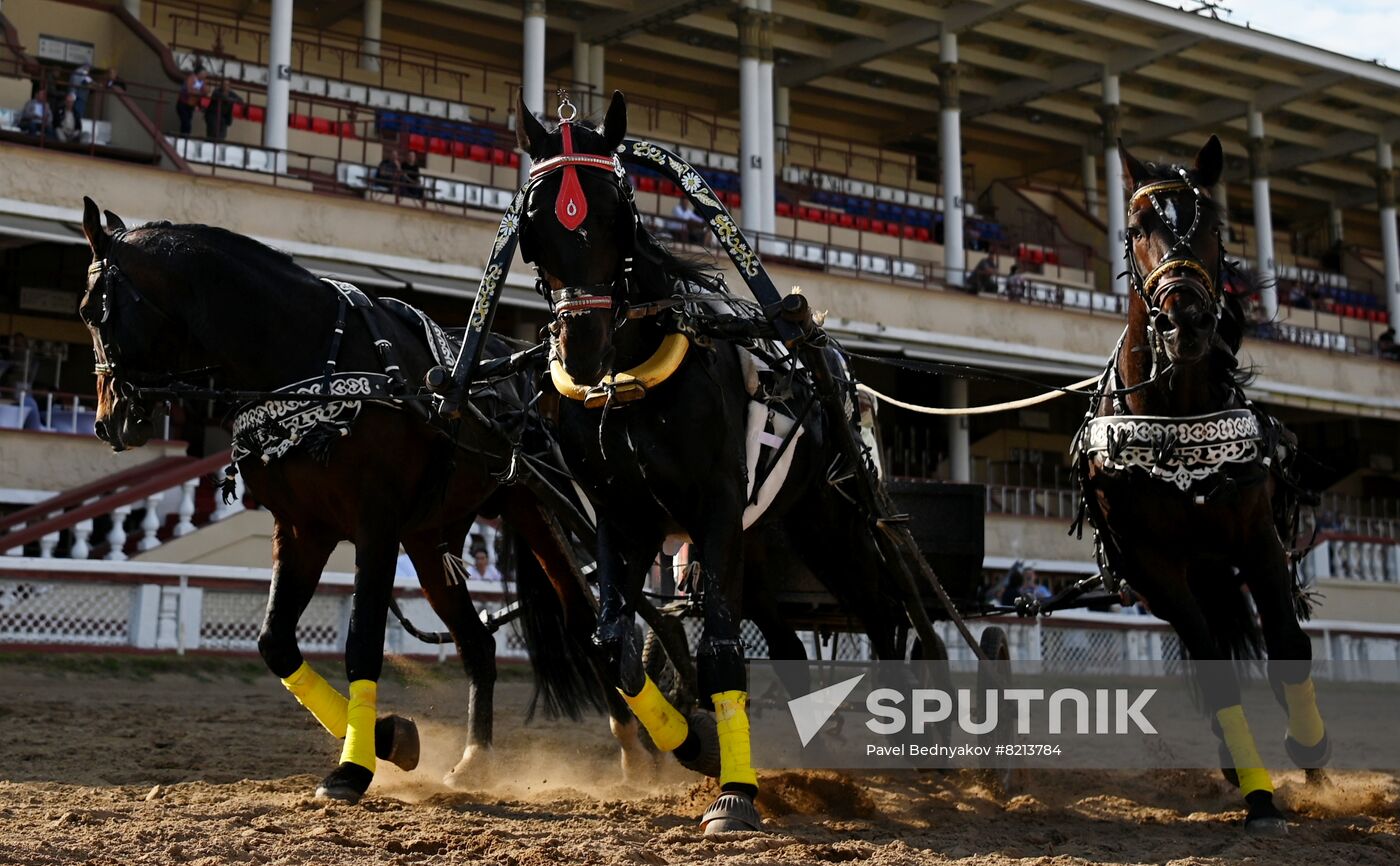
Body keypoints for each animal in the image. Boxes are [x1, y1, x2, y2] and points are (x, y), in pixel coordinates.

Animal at [81, 198, 655, 805]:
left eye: (94, 312)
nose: (107, 421)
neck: (313, 362)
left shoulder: (375, 524)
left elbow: (362, 642)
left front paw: (353, 767)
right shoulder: (302, 528)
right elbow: (275, 643)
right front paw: (388, 736)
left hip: (537, 503)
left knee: (590, 624)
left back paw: (644, 749)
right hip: (431, 539)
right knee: (478, 643)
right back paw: (476, 758)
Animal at [509, 89, 946, 833]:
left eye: (617, 211)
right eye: (535, 223)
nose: (582, 349)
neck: (633, 385)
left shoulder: (713, 508)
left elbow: (717, 649)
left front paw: (734, 794)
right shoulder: (624, 520)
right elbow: (610, 645)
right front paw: (696, 744)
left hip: (829, 524)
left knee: (885, 615)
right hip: (764, 543)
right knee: (792, 644)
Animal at [1075, 139, 1327, 839]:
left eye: (1214, 225)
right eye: (1138, 228)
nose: (1183, 318)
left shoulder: (1258, 538)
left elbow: (1289, 645)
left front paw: (1309, 749)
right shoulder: (1153, 567)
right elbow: (1215, 675)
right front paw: (1261, 797)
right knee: (1205, 649)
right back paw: (1237, 767)